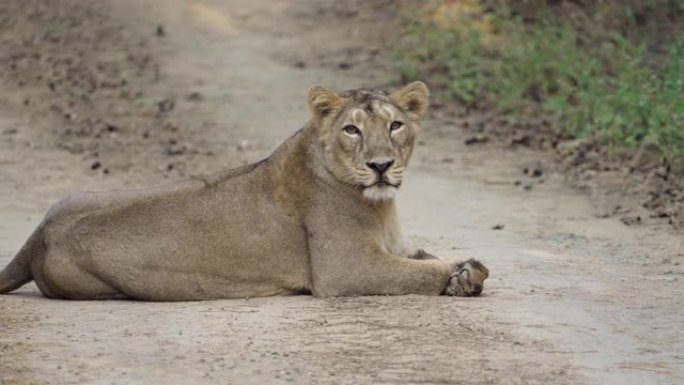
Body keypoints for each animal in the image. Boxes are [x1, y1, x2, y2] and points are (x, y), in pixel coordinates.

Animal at [1, 82, 492, 300]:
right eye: (352, 130)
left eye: (395, 126)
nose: (380, 166)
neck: (379, 206)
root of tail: (39, 234)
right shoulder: (345, 271)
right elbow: (416, 273)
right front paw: (461, 276)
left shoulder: (391, 246)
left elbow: (423, 256)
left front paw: (463, 265)